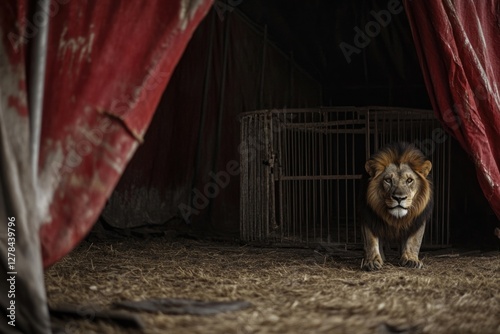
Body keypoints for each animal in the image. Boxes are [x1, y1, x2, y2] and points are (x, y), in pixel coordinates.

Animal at [360, 142, 434, 270]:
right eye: (388, 180)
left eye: (409, 180)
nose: (399, 198)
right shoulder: (369, 217)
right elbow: (371, 241)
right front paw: (372, 261)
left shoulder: (418, 220)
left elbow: (414, 241)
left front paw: (410, 259)